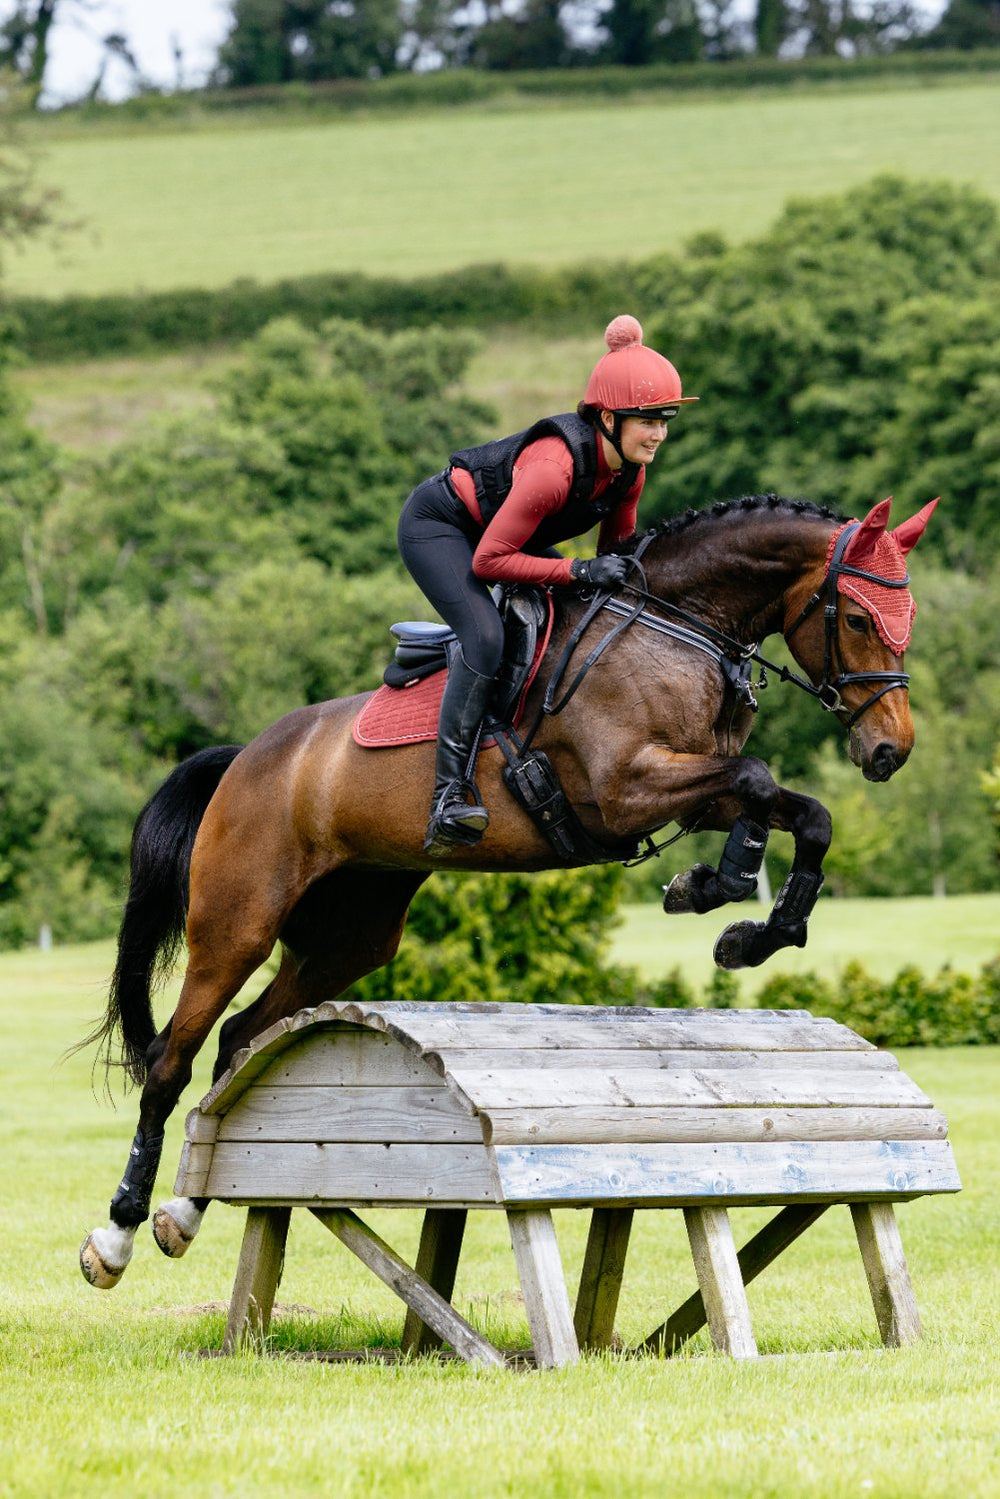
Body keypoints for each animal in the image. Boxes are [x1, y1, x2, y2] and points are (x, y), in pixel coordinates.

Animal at [79, 492, 937, 1289]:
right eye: (857, 616)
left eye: (909, 618)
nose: (890, 749)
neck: (675, 626)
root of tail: (247, 757)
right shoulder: (623, 790)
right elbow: (758, 777)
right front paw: (714, 891)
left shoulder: (690, 787)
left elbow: (801, 810)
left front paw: (741, 918)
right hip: (237, 924)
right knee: (170, 1059)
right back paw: (116, 1235)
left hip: (347, 938)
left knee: (240, 1041)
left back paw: (184, 1211)